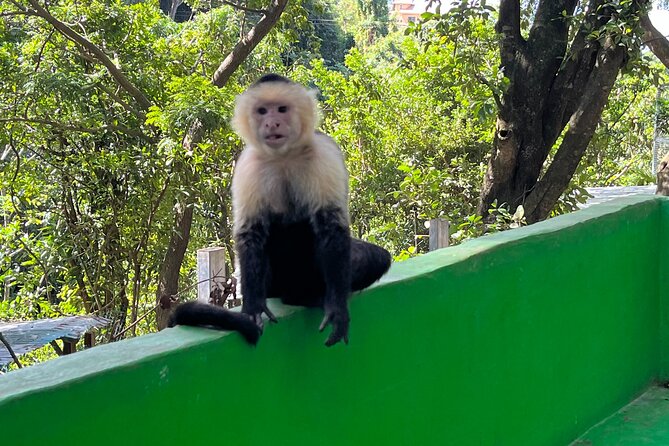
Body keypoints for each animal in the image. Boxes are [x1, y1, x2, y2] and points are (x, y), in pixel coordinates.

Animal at [169, 74, 391, 346]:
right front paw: (253, 307)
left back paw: (308, 296)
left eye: (282, 110)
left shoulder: (323, 155)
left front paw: (337, 308)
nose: (272, 123)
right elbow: (250, 232)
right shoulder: (248, 165)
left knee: (374, 257)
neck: (284, 156)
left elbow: (331, 226)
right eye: (262, 111)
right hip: (275, 282)